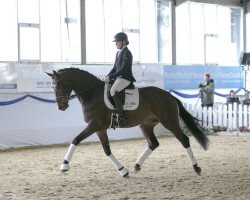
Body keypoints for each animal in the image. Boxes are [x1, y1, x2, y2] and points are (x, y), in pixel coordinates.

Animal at [46, 68, 209, 177]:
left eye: (60, 83)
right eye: (52, 86)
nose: (61, 107)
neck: (91, 94)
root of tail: (169, 95)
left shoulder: (94, 125)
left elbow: (76, 140)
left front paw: (64, 166)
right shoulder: (100, 129)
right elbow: (107, 150)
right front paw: (123, 171)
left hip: (169, 121)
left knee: (184, 140)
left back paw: (196, 168)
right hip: (146, 124)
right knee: (153, 143)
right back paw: (136, 166)